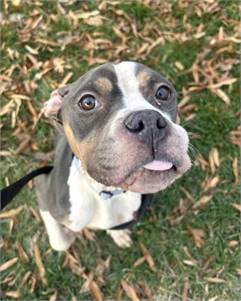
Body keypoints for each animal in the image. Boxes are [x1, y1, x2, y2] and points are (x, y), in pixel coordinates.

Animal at [0, 60, 191, 248]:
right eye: (88, 102)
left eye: (163, 92)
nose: (148, 120)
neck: (105, 193)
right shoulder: (43, 190)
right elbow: (60, 242)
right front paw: (70, 235)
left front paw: (119, 234)